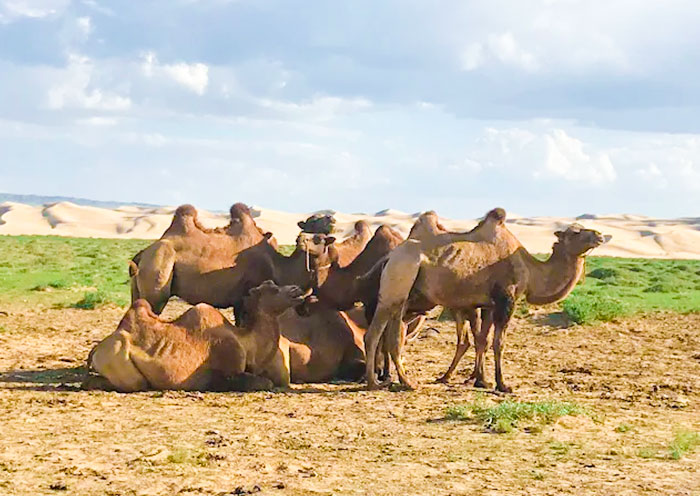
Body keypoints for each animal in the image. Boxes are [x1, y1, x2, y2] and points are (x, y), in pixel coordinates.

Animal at [86, 281, 307, 392]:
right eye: (274, 289)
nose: (297, 289)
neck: (247, 342)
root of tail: (97, 349)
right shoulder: (228, 368)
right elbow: (265, 383)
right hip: (119, 358)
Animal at [364, 215, 610, 392]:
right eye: (575, 232)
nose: (599, 235)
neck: (531, 270)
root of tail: (391, 256)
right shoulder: (507, 299)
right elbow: (499, 343)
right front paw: (503, 385)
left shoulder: (489, 305)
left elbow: (483, 340)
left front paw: (480, 380)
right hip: (398, 283)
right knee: (375, 333)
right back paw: (379, 382)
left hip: (405, 299)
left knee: (393, 335)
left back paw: (399, 380)